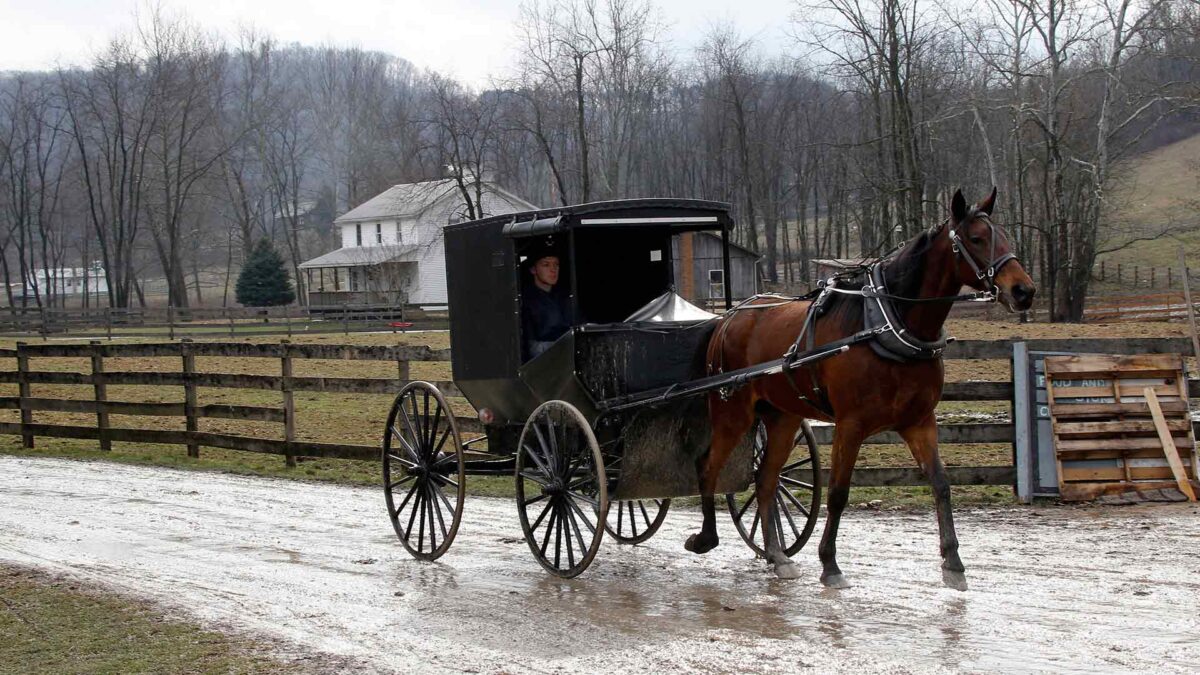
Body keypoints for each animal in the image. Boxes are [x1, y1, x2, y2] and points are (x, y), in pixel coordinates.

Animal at [691, 186, 1036, 586]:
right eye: (976, 239)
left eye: (1006, 236)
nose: (1024, 291)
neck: (887, 325)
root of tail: (730, 317)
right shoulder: (851, 425)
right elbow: (839, 492)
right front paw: (830, 564)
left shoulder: (919, 422)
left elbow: (941, 483)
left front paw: (953, 562)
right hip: (732, 412)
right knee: (709, 468)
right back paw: (706, 537)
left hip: (782, 417)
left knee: (765, 481)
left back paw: (777, 556)